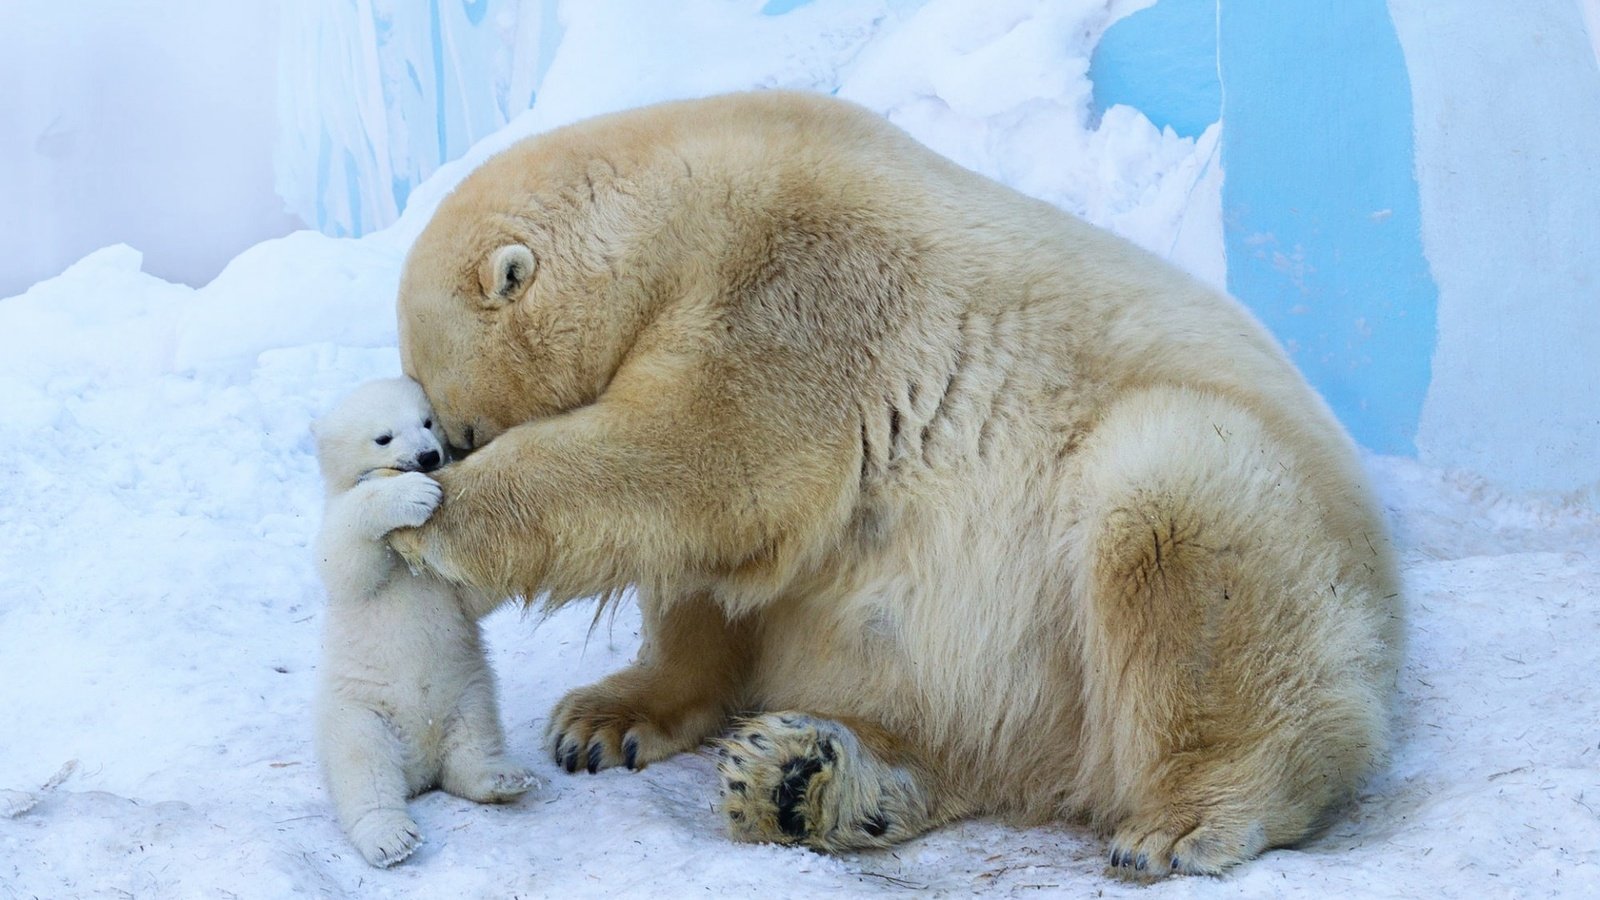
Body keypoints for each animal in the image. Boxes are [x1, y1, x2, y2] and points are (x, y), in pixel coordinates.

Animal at [390, 91, 1401, 877]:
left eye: (456, 425)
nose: (437, 451)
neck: (686, 205)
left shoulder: (801, 290)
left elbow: (700, 461)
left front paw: (428, 522)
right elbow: (718, 569)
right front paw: (605, 719)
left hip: (1250, 527)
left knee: (1176, 515)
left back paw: (1187, 817)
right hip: (1012, 686)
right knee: (957, 733)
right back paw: (805, 780)